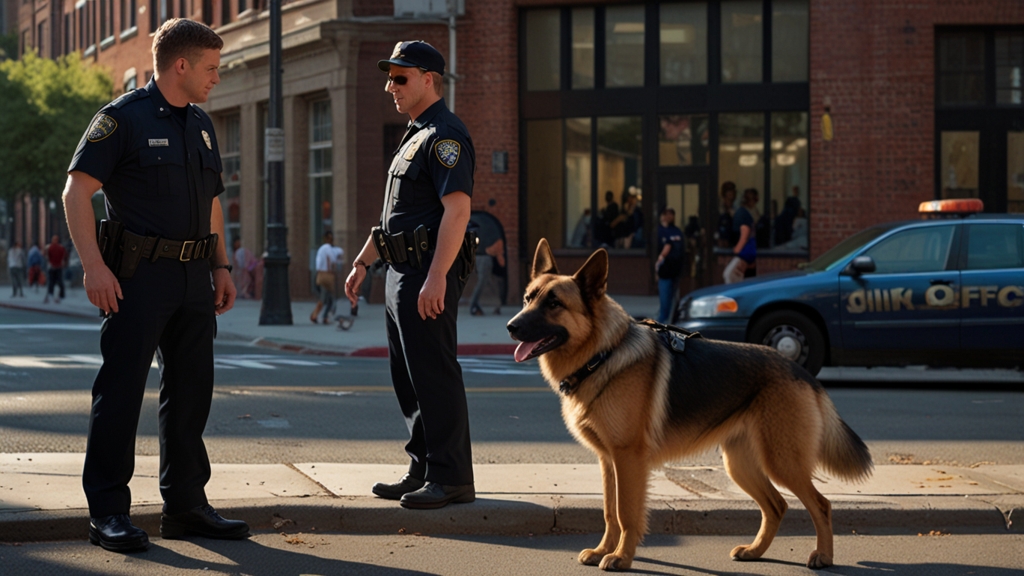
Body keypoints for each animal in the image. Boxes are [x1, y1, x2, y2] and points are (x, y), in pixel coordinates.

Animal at [503, 238, 872, 569]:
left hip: (782, 461)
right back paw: (755, 551)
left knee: (820, 505)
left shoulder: (628, 459)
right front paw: (602, 550)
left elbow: (625, 513)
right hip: (741, 466)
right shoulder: (608, 461)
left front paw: (621, 557)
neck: (602, 354)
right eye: (528, 298)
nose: (510, 326)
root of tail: (800, 370)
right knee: (776, 505)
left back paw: (823, 556)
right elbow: (609, 511)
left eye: (554, 304)